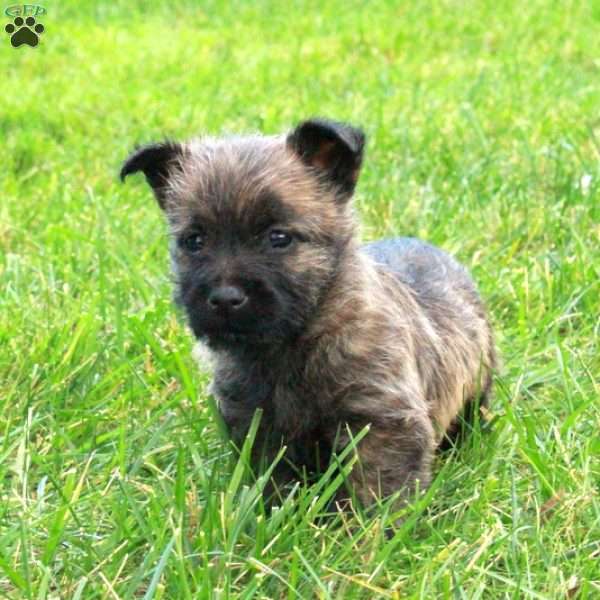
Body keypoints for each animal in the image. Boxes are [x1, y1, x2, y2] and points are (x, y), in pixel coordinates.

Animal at [122, 119, 496, 508]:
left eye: (279, 237)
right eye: (194, 241)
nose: (225, 298)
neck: (293, 342)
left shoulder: (379, 419)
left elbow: (378, 487)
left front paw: (375, 525)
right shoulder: (257, 426)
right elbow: (275, 483)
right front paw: (275, 513)